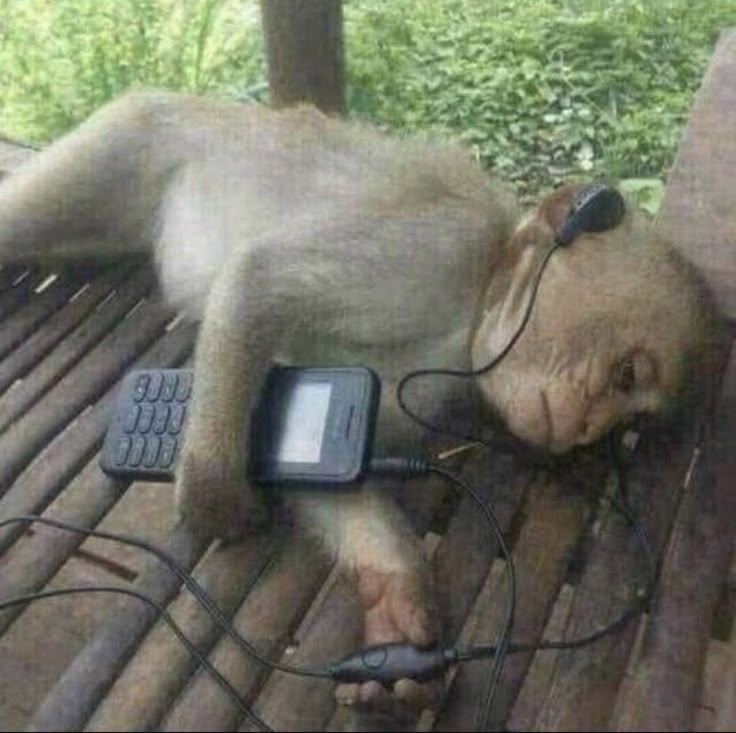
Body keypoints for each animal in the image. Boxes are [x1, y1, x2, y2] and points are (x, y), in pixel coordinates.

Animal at [0, 91, 720, 716]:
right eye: (626, 374)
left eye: (627, 422)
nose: (589, 427)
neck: (475, 300)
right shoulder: (435, 247)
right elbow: (261, 279)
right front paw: (214, 489)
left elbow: (321, 452)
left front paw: (393, 604)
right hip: (130, 138)